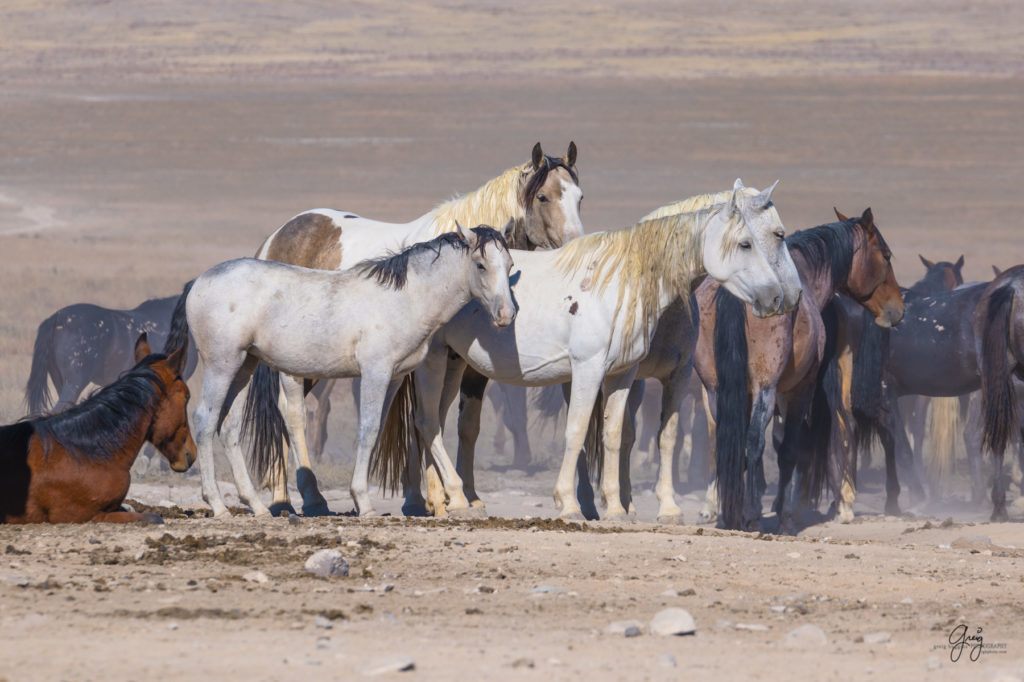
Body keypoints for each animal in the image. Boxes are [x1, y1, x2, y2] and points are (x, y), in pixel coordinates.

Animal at [174, 223, 520, 516]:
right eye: (481, 265)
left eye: (510, 265)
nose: (507, 314)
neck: (404, 298)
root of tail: (198, 282)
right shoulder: (375, 373)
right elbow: (367, 429)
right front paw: (363, 502)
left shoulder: (393, 378)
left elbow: (377, 429)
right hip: (222, 365)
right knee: (205, 420)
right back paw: (217, 504)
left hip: (244, 367)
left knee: (229, 427)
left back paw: (256, 506)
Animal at [385, 178, 798, 518]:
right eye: (748, 242)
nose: (779, 296)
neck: (622, 280)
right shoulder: (587, 370)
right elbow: (578, 431)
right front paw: (568, 502)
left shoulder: (623, 375)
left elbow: (614, 435)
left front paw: (616, 507)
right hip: (432, 362)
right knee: (426, 421)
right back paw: (451, 498)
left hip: (454, 361)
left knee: (434, 423)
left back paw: (444, 501)